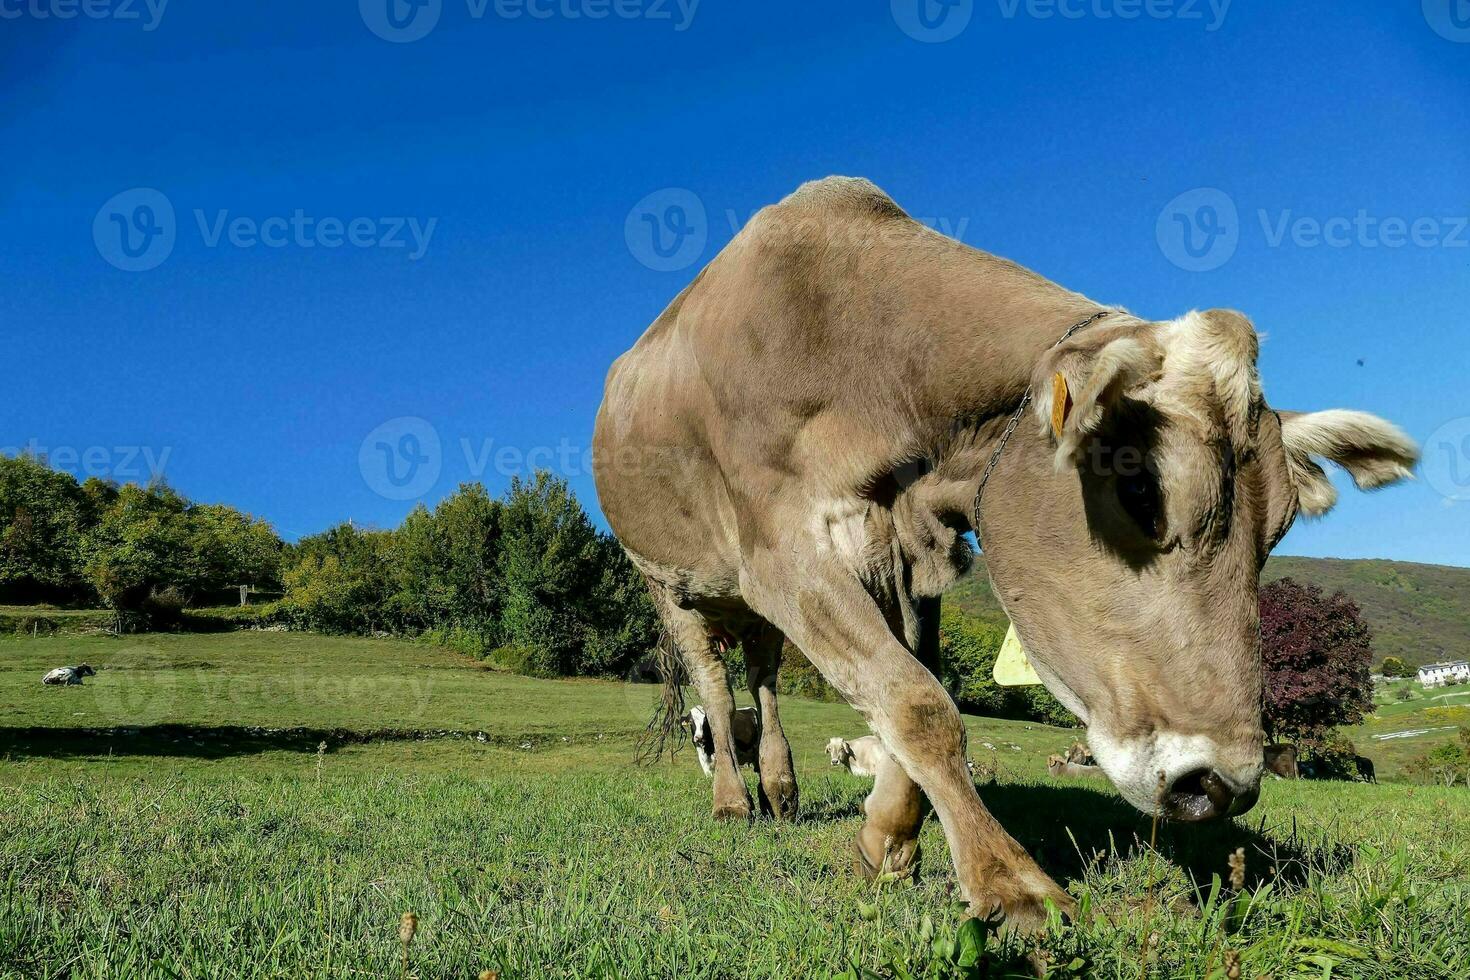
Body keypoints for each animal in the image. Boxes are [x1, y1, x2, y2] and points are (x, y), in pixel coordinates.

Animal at [590, 178, 1417, 934]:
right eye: (1142, 492)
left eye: (1277, 531)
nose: (1222, 785)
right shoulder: (781, 554)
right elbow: (919, 702)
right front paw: (1009, 882)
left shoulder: (908, 562)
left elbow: (910, 685)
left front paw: (887, 839)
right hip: (670, 583)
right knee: (715, 684)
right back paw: (736, 802)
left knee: (761, 678)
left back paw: (782, 789)